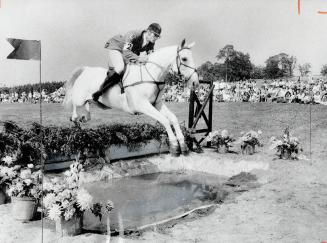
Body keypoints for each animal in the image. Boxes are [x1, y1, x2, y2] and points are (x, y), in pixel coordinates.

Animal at [62, 39, 199, 155]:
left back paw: (84, 118)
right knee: (74, 102)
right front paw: (174, 146)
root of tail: (86, 70)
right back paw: (75, 118)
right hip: (80, 98)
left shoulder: (157, 103)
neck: (151, 74)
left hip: (92, 101)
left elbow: (173, 118)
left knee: (87, 107)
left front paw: (183, 145)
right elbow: (165, 120)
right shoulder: (142, 105)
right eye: (184, 59)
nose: (195, 83)